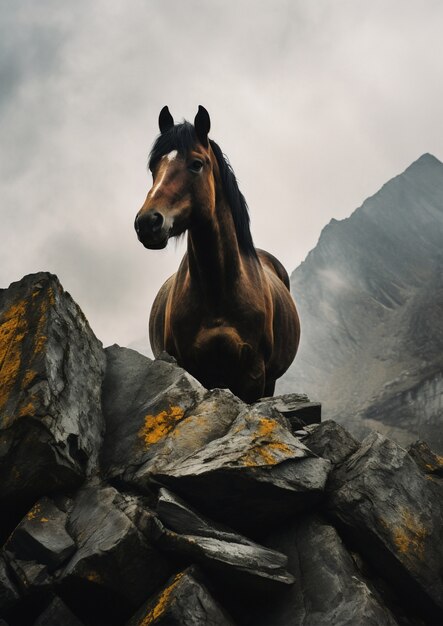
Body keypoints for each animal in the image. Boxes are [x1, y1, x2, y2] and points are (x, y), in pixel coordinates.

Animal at [135, 105, 302, 402]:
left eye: (196, 164)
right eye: (154, 167)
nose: (147, 222)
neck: (218, 290)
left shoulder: (253, 377)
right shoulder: (195, 371)